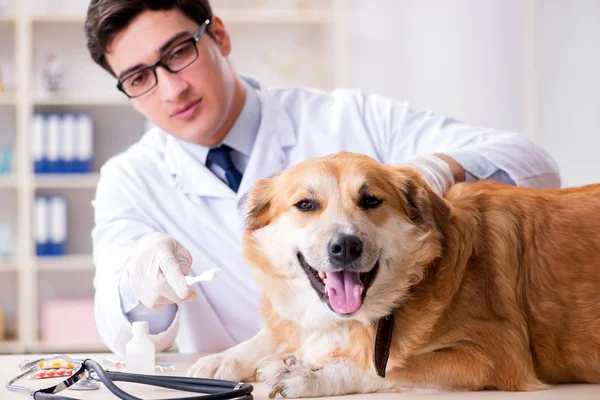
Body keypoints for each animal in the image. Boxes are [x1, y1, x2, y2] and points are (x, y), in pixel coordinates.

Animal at [188, 152, 600, 396]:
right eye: (306, 204)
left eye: (371, 200)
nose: (345, 247)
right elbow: (281, 330)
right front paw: (226, 357)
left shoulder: (494, 356)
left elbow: (385, 369)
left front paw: (311, 375)